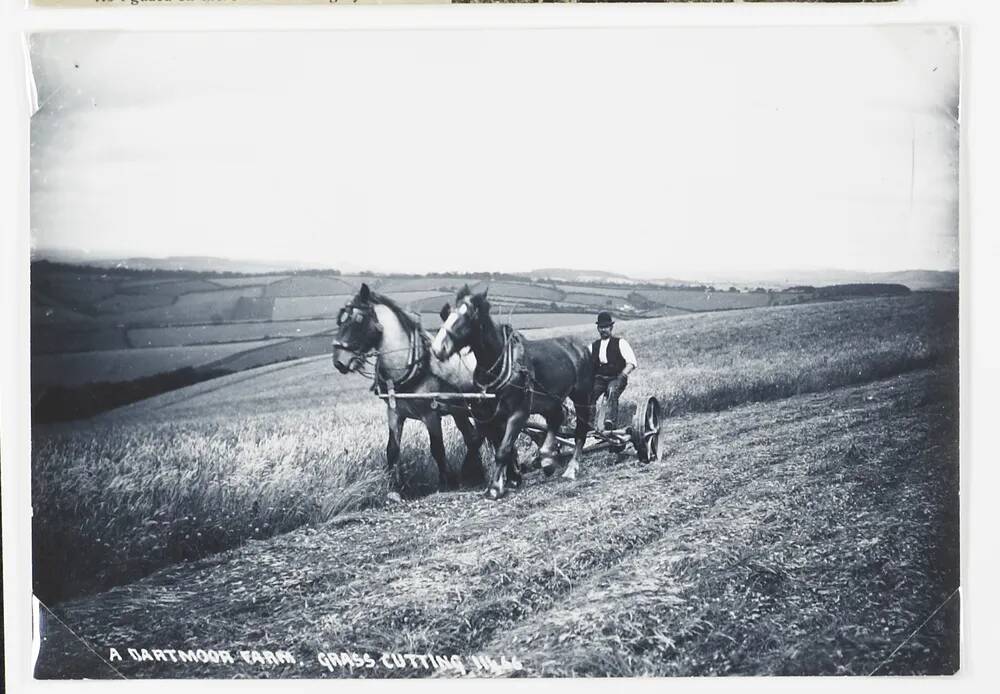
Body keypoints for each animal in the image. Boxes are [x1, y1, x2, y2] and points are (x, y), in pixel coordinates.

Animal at [332, 286, 484, 492]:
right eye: (340, 319)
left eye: (358, 319)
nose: (338, 361)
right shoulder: (394, 413)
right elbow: (392, 450)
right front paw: (395, 487)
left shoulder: (430, 414)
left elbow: (437, 448)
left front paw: (446, 482)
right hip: (460, 409)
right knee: (472, 436)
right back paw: (475, 473)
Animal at [430, 286, 592, 502]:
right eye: (446, 314)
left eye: (468, 317)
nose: (438, 348)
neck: (498, 364)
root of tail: (580, 346)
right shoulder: (489, 416)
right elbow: (497, 446)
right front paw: (507, 479)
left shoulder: (518, 413)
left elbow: (504, 449)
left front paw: (494, 488)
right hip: (550, 400)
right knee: (556, 418)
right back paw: (547, 459)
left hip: (581, 396)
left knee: (581, 429)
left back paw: (571, 468)